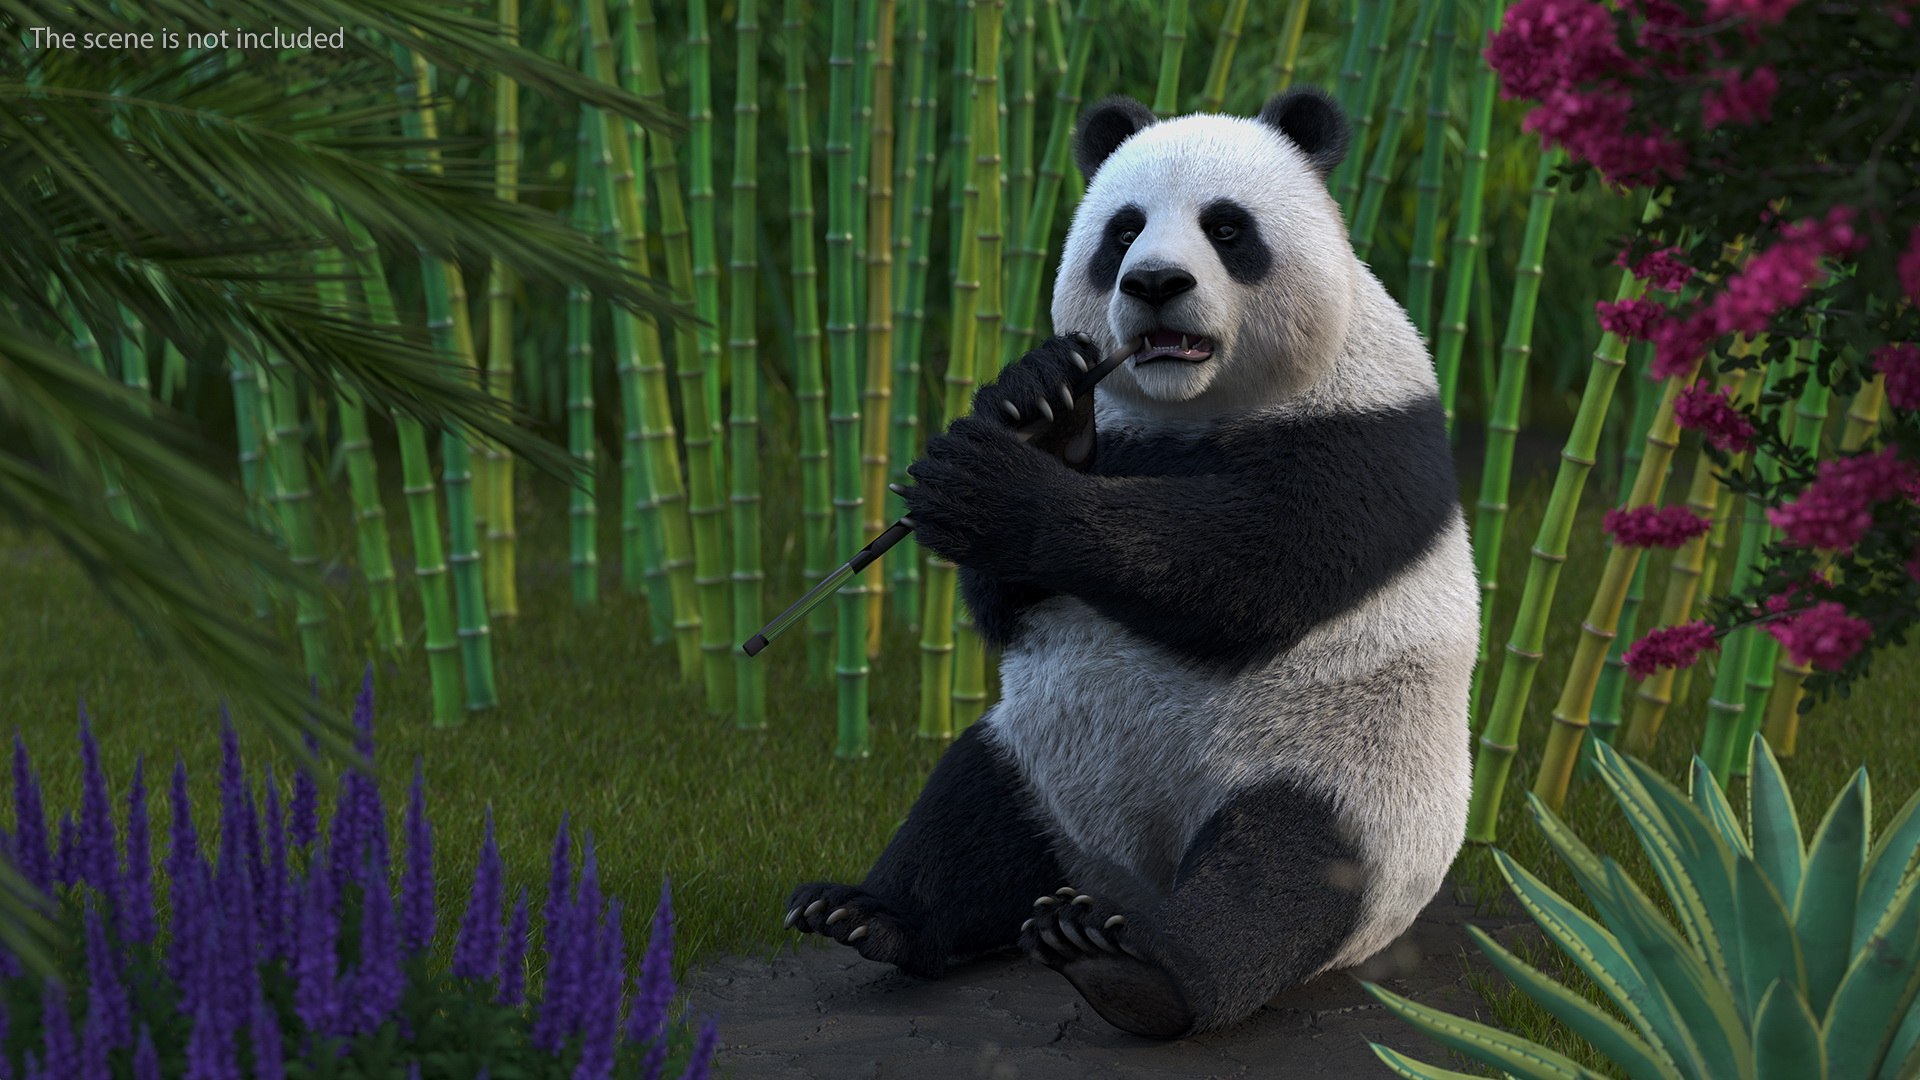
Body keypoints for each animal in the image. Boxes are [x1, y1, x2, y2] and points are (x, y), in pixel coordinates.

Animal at [785, 86, 1479, 1040]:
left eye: (1227, 229)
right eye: (1122, 231)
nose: (1153, 284)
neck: (1186, 407)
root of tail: (1138, 871)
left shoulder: (1367, 431)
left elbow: (1249, 568)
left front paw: (993, 485)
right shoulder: (1119, 420)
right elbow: (1012, 605)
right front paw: (1034, 404)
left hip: (1353, 781)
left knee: (1280, 878)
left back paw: (1133, 967)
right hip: (1043, 760)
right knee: (970, 808)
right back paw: (869, 914)